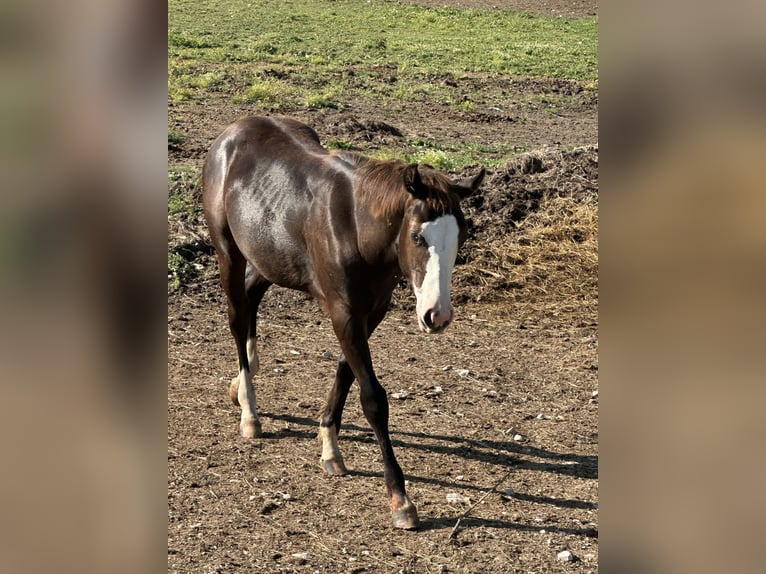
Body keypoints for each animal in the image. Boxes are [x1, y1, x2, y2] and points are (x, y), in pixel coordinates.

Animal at [202, 115, 484, 529]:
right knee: (238, 317)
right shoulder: (344, 311)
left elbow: (345, 370)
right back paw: (249, 411)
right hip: (228, 252)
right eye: (417, 236)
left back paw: (241, 383)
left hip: (268, 255)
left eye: (460, 236)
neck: (355, 227)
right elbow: (372, 397)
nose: (438, 315)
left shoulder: (371, 311)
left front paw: (329, 449)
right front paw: (400, 499)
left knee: (253, 295)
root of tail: (232, 132)